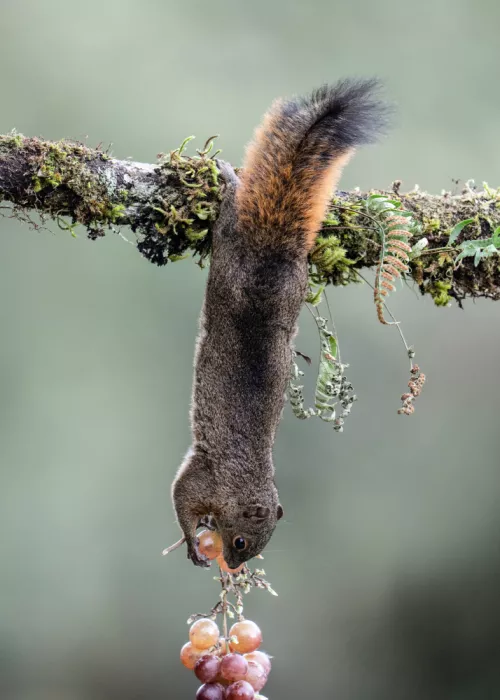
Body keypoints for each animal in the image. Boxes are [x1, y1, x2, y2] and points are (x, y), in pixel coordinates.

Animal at [172, 79, 387, 568]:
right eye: (240, 543)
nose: (233, 566)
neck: (240, 484)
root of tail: (271, 253)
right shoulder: (205, 477)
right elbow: (181, 497)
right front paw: (192, 541)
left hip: (295, 282)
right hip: (229, 253)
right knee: (230, 213)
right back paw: (227, 176)